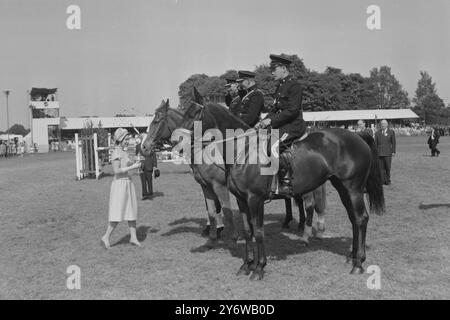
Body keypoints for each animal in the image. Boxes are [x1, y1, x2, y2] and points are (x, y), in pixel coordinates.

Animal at [142, 99, 326, 245]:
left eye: (157, 120)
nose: (144, 147)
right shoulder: (206, 186)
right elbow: (211, 210)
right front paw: (213, 233)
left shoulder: (220, 186)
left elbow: (225, 210)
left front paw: (231, 235)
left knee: (309, 205)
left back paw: (306, 234)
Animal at [176, 99, 384, 278]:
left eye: (194, 115)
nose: (178, 145)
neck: (243, 151)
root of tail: (358, 135)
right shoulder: (242, 200)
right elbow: (247, 231)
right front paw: (246, 265)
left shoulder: (255, 199)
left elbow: (259, 231)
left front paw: (259, 268)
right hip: (342, 188)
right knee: (353, 219)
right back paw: (352, 257)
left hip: (354, 188)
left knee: (361, 218)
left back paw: (358, 263)